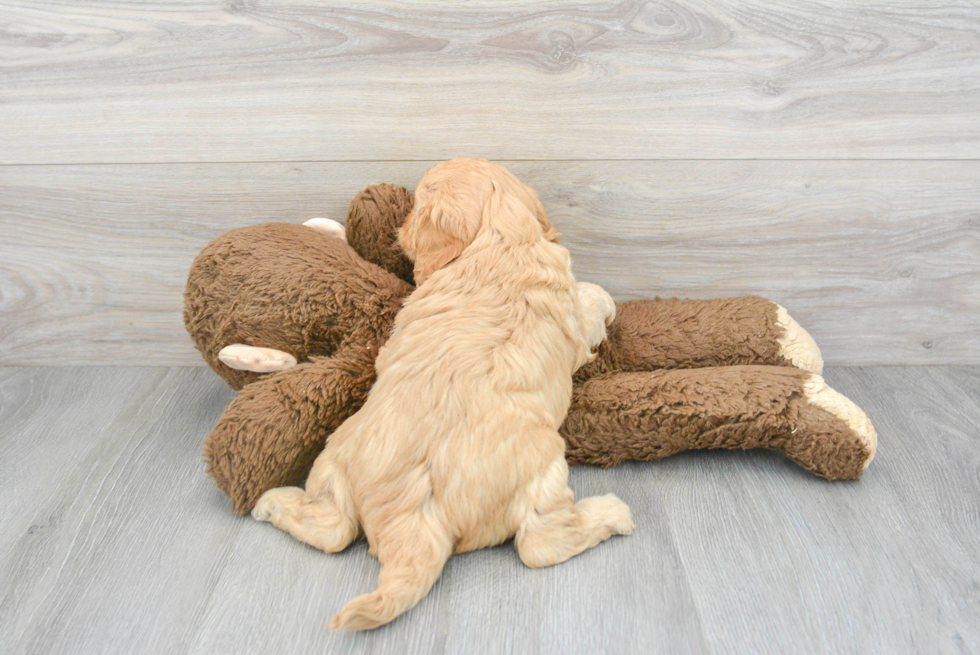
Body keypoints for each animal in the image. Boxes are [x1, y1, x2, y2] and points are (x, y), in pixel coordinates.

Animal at [253, 158, 636, 632]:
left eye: (416, 204)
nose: (399, 228)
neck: (500, 239)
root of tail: (412, 515)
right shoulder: (574, 325)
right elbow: (588, 307)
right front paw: (601, 297)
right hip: (545, 464)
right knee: (540, 543)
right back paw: (612, 514)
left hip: (334, 456)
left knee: (334, 528)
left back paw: (270, 503)